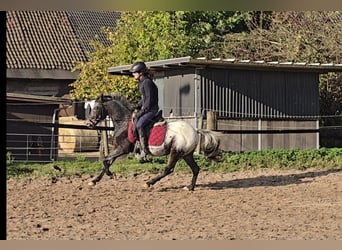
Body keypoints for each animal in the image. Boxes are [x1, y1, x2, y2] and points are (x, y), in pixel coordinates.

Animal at [84, 94, 220, 191]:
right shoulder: (117, 148)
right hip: (186, 154)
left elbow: (104, 159)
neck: (124, 122)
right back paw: (190, 187)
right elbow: (107, 161)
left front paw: (111, 175)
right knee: (195, 169)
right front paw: (95, 180)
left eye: (96, 108)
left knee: (168, 169)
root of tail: (195, 130)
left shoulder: (122, 149)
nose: (89, 124)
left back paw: (149, 183)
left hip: (175, 152)